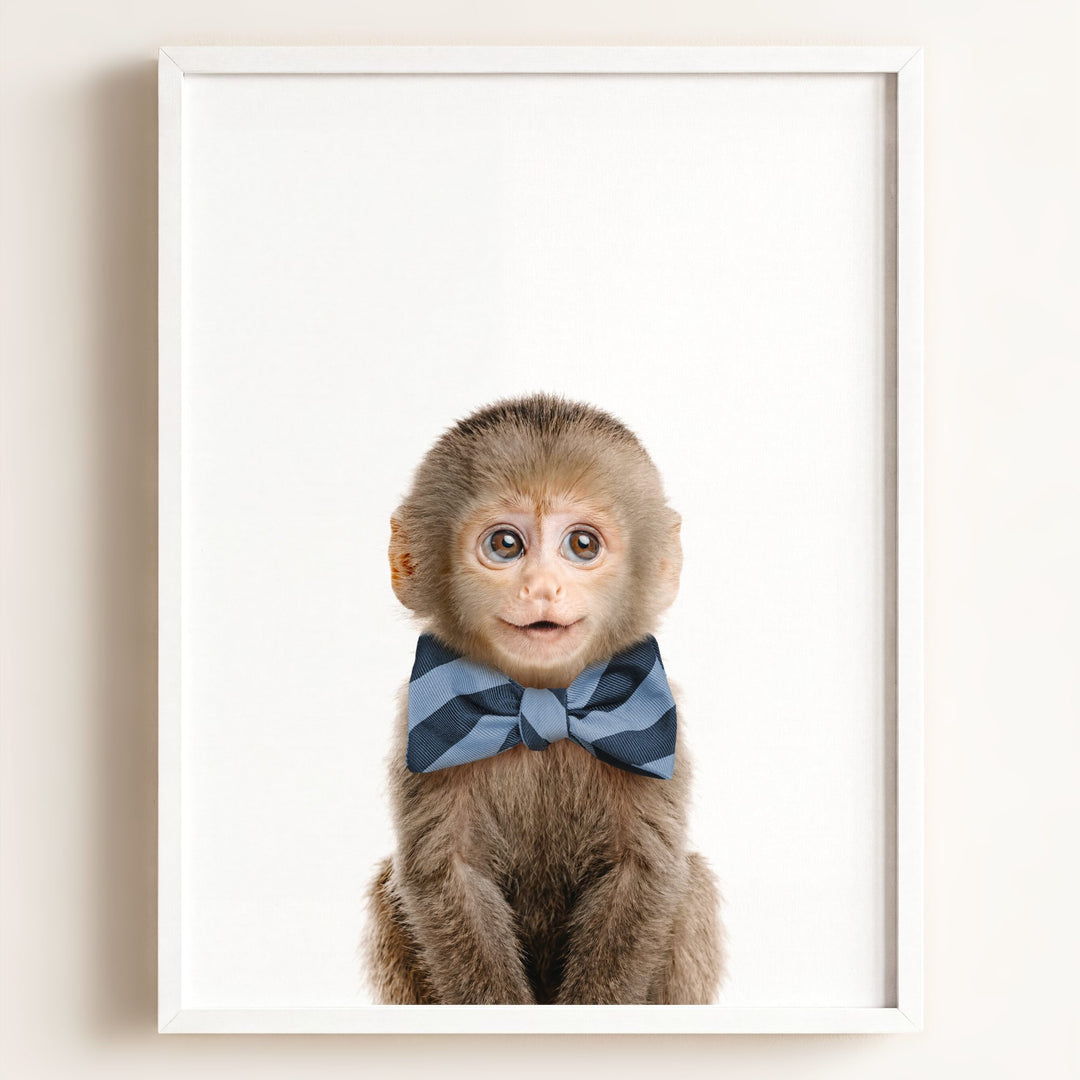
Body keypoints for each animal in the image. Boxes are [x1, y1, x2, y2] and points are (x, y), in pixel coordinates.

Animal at [363, 393, 723, 1005]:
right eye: (505, 545)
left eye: (582, 544)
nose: (541, 588)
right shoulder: (421, 720)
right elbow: (446, 874)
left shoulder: (654, 714)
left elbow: (644, 872)